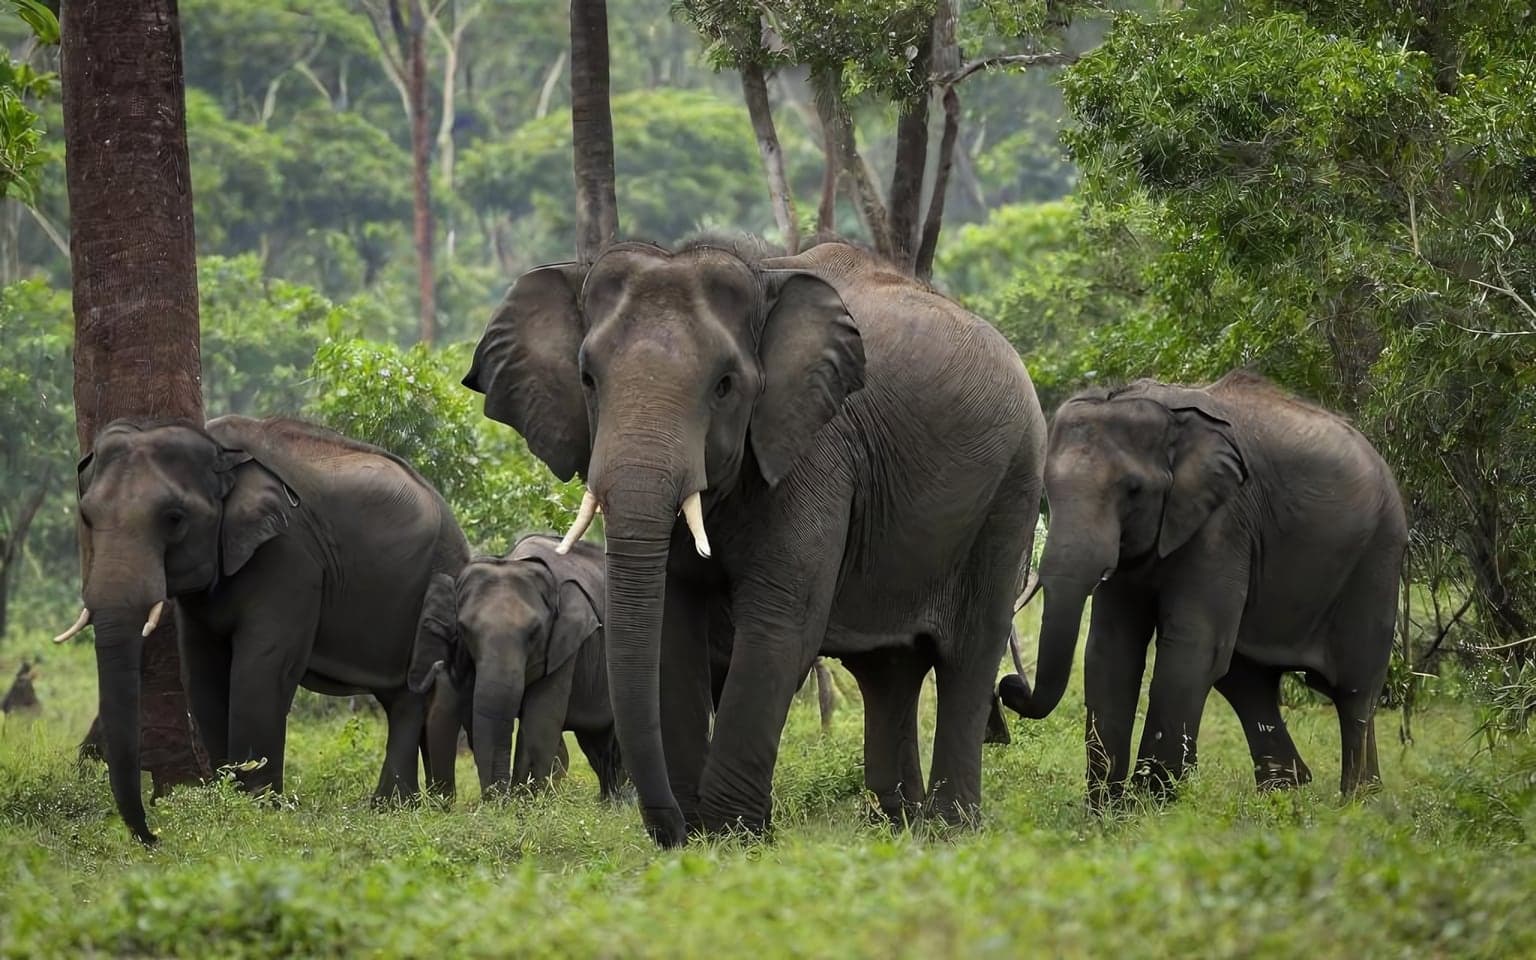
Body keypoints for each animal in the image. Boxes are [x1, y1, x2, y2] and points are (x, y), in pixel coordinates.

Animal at [56, 416, 470, 844]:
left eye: (174, 518)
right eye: (86, 516)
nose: (153, 837)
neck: (220, 451)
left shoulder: (291, 556)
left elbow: (261, 670)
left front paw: (256, 808)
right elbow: (202, 674)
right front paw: (227, 795)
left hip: (438, 572)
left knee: (412, 689)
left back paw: (392, 807)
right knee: (399, 694)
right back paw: (395, 807)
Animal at [410, 534, 625, 801]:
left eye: (535, 633)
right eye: (465, 630)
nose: (498, 800)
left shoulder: (565, 648)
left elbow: (539, 719)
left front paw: (525, 802)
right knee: (596, 742)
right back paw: (610, 802)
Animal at [463, 238, 1046, 846]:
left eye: (724, 386)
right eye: (587, 380)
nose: (672, 831)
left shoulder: (815, 449)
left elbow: (779, 623)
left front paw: (732, 836)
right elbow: (672, 624)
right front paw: (701, 833)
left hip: (1013, 486)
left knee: (968, 653)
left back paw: (950, 830)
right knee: (889, 668)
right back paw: (897, 825)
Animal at [997, 371, 1407, 809]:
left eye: (1133, 490)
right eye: (1048, 491)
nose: (1009, 686)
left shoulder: (1224, 521)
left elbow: (1191, 644)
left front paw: (1150, 804)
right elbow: (1111, 648)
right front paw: (1109, 810)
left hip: (1378, 555)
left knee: (1353, 686)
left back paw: (1358, 799)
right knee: (1246, 676)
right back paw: (1285, 791)